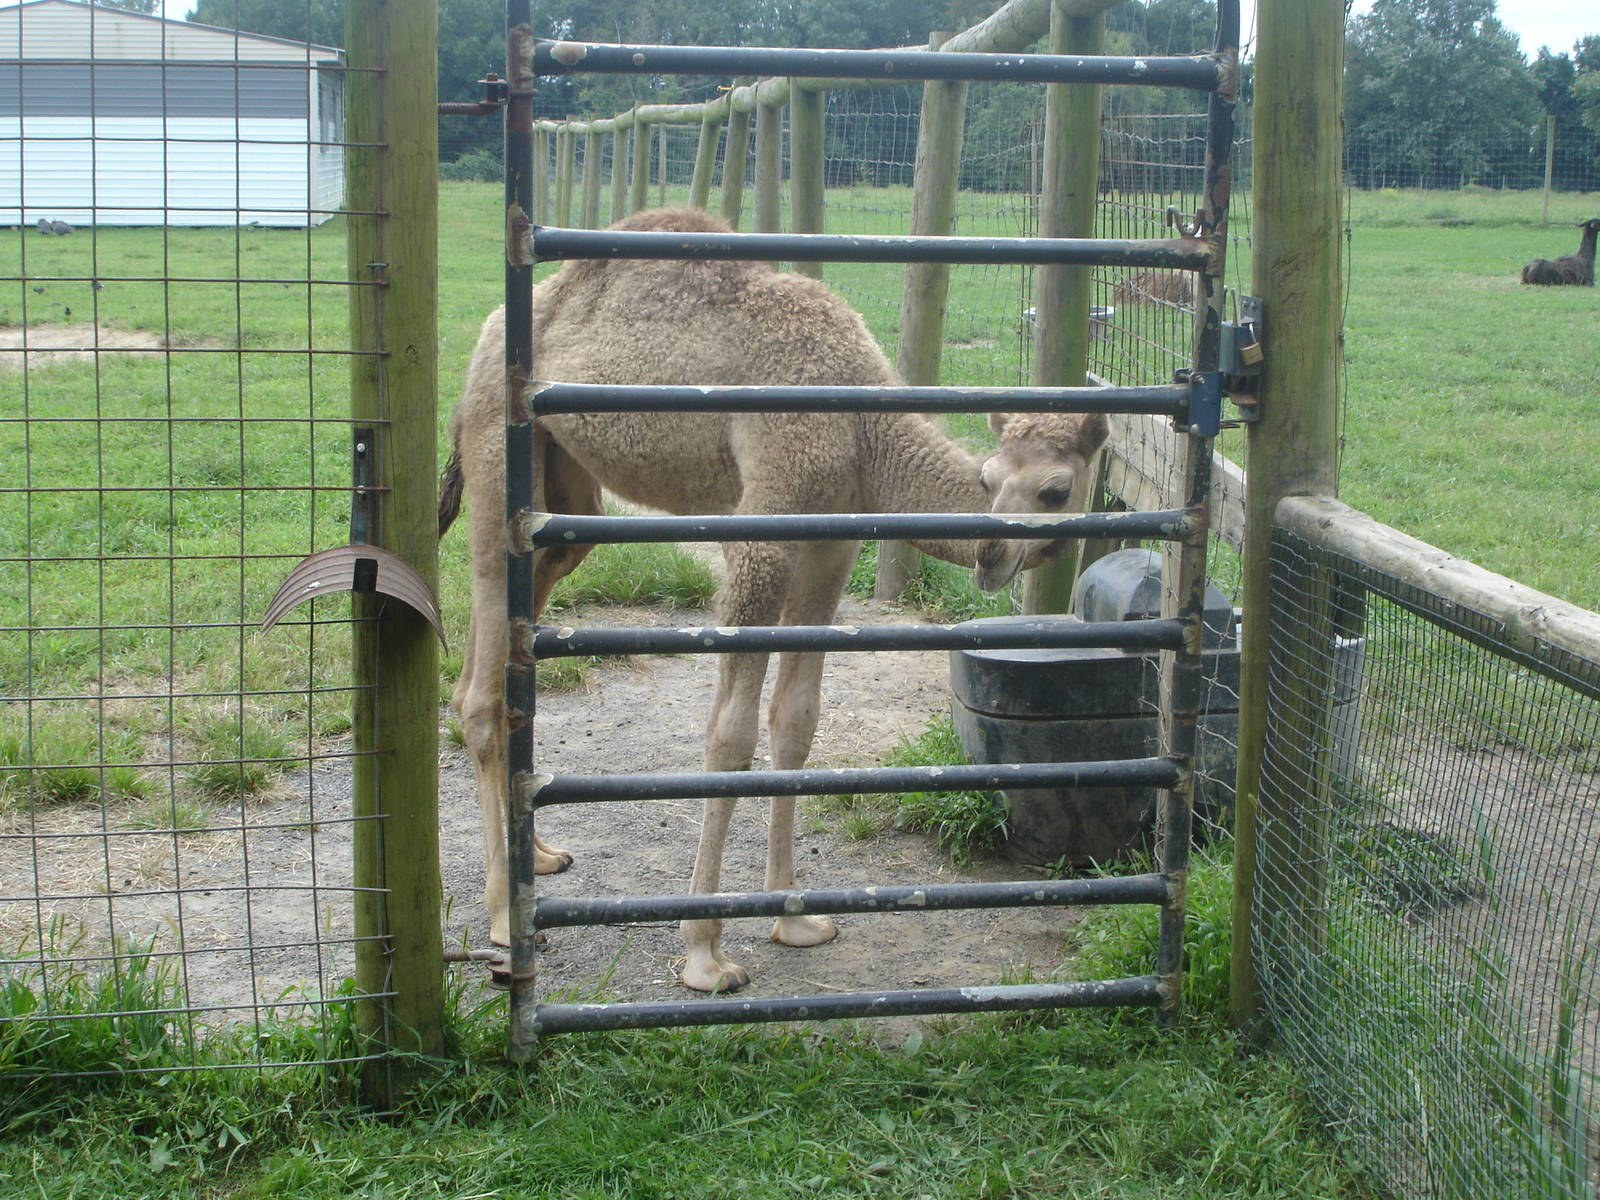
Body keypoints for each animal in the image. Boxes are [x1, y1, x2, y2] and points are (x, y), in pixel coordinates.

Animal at [440, 207, 1109, 993]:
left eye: (1053, 489)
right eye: (990, 479)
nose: (993, 556)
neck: (861, 429)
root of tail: (490, 334)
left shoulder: (830, 547)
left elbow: (796, 721)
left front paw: (794, 916)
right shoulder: (765, 531)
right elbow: (729, 736)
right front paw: (704, 953)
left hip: (565, 487)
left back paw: (540, 857)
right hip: (497, 447)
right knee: (481, 680)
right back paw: (504, 920)